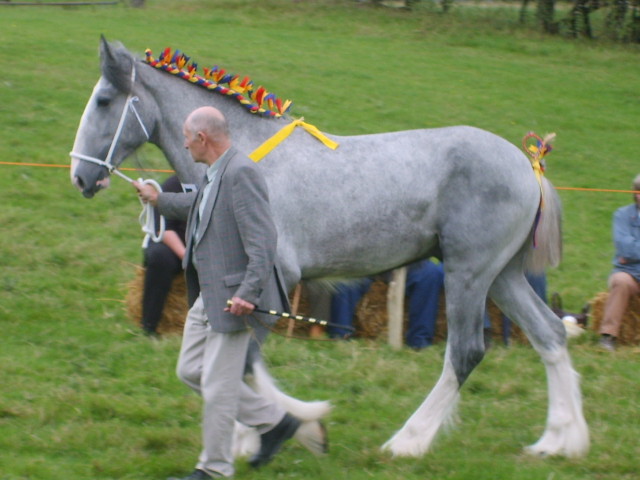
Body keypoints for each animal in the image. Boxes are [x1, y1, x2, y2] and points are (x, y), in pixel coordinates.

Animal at [70, 37, 589, 460]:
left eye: (104, 100)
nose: (80, 175)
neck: (245, 157)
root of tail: (529, 167)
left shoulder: (270, 281)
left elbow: (246, 363)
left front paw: (278, 430)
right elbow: (240, 363)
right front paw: (280, 429)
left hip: (469, 272)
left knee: (465, 352)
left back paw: (408, 442)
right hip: (503, 275)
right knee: (549, 334)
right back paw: (559, 441)